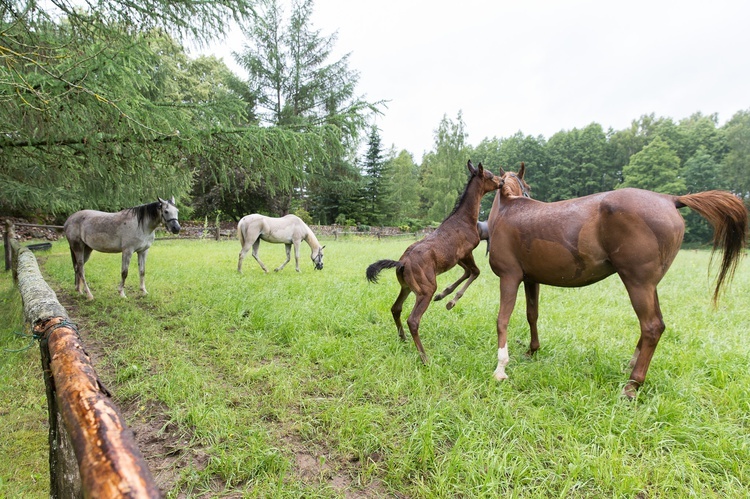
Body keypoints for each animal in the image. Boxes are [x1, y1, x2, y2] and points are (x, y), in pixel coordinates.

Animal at [366, 162, 502, 366]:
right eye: (491, 176)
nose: (502, 182)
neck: (465, 219)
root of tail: (402, 263)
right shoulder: (466, 253)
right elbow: (475, 272)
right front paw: (450, 301)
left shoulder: (457, 259)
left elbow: (468, 273)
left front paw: (444, 296)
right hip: (425, 289)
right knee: (413, 320)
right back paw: (424, 357)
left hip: (406, 287)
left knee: (395, 308)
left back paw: (403, 338)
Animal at [484, 164, 748, 398]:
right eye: (527, 187)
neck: (509, 211)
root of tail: (669, 199)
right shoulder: (531, 280)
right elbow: (532, 315)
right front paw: (532, 351)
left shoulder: (509, 277)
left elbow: (502, 320)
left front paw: (501, 369)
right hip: (649, 286)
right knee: (657, 324)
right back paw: (631, 368)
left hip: (638, 284)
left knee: (652, 326)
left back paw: (631, 386)